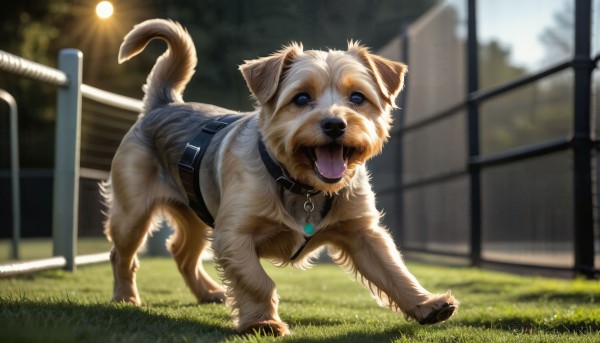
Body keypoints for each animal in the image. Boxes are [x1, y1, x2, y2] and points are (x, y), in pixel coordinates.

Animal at [103, 18, 458, 336]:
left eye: (357, 97)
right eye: (301, 98)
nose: (335, 124)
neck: (304, 187)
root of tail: (163, 104)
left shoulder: (363, 234)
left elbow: (394, 269)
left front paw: (426, 304)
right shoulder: (233, 235)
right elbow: (257, 282)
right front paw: (262, 322)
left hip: (194, 214)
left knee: (181, 252)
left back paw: (207, 291)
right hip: (133, 214)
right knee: (122, 254)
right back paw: (125, 297)